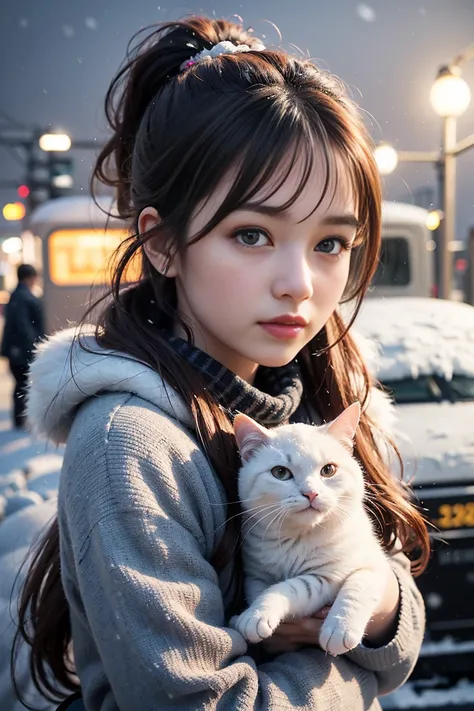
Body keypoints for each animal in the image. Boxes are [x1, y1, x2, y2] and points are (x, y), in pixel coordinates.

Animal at [229, 404, 388, 660]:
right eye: (280, 473)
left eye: (329, 470)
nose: (311, 493)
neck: (297, 537)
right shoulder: (256, 574)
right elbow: (271, 588)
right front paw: (253, 613)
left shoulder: (354, 568)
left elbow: (355, 586)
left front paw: (339, 628)